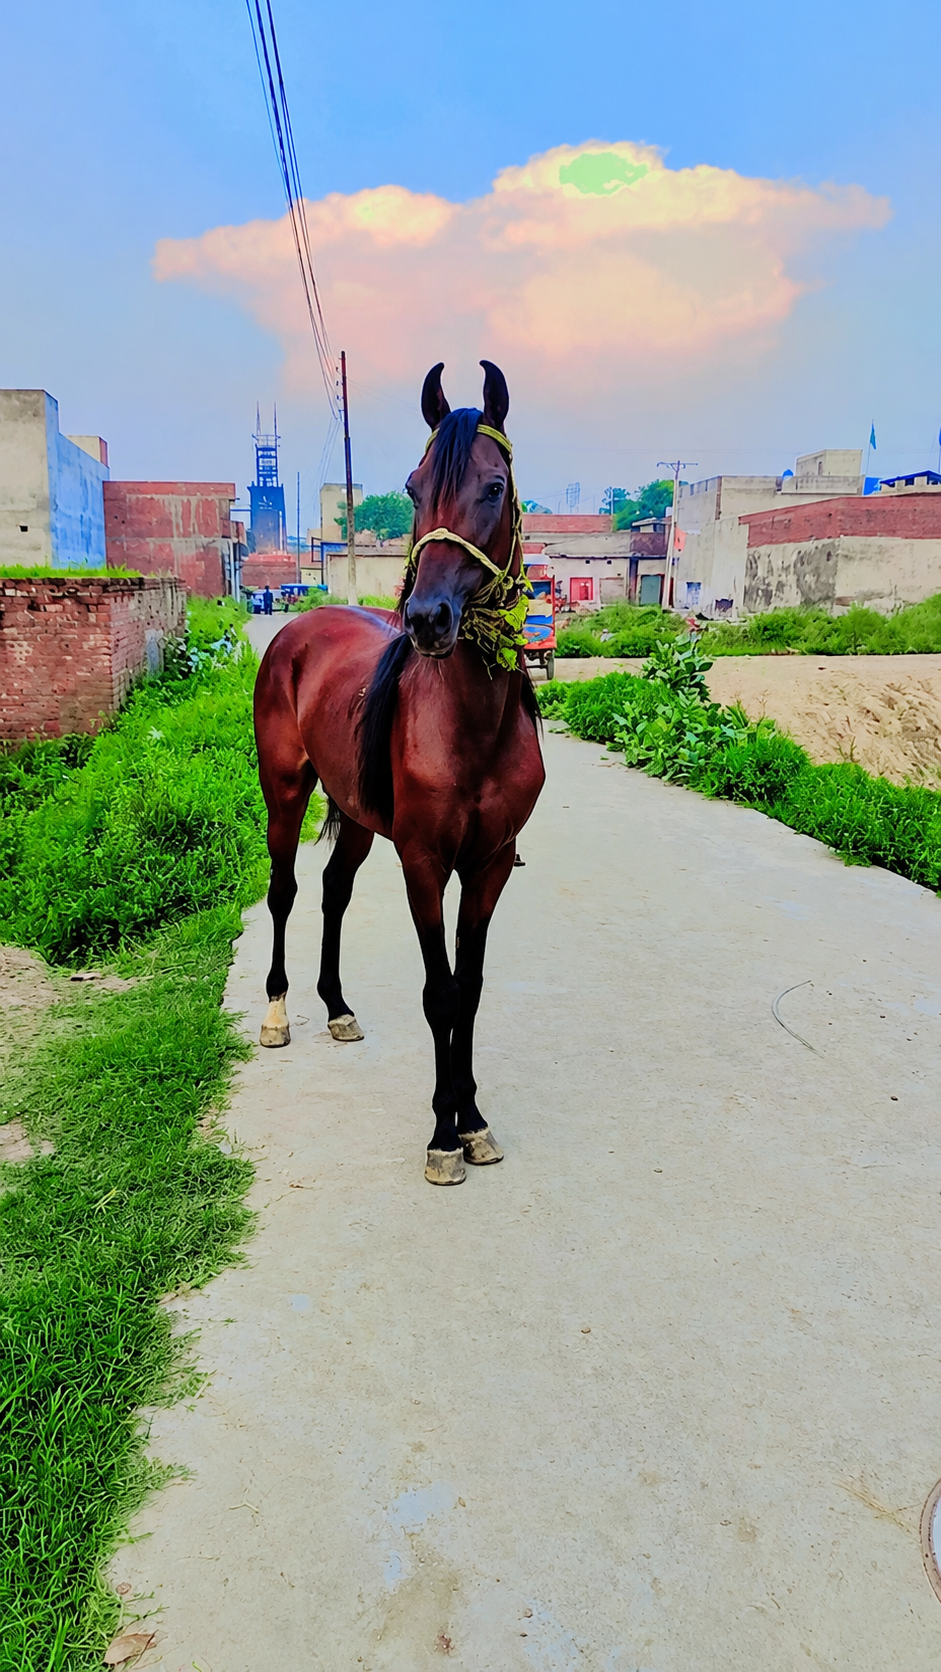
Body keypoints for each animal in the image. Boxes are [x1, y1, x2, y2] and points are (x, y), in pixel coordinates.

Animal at [252, 360, 545, 1184]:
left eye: (494, 487)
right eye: (413, 488)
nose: (426, 618)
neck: (471, 727)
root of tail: (296, 626)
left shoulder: (488, 864)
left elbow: (468, 990)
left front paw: (473, 1120)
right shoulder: (423, 862)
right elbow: (438, 993)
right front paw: (444, 1134)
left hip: (356, 816)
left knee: (333, 892)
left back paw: (337, 1007)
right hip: (285, 792)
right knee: (285, 892)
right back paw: (279, 1012)